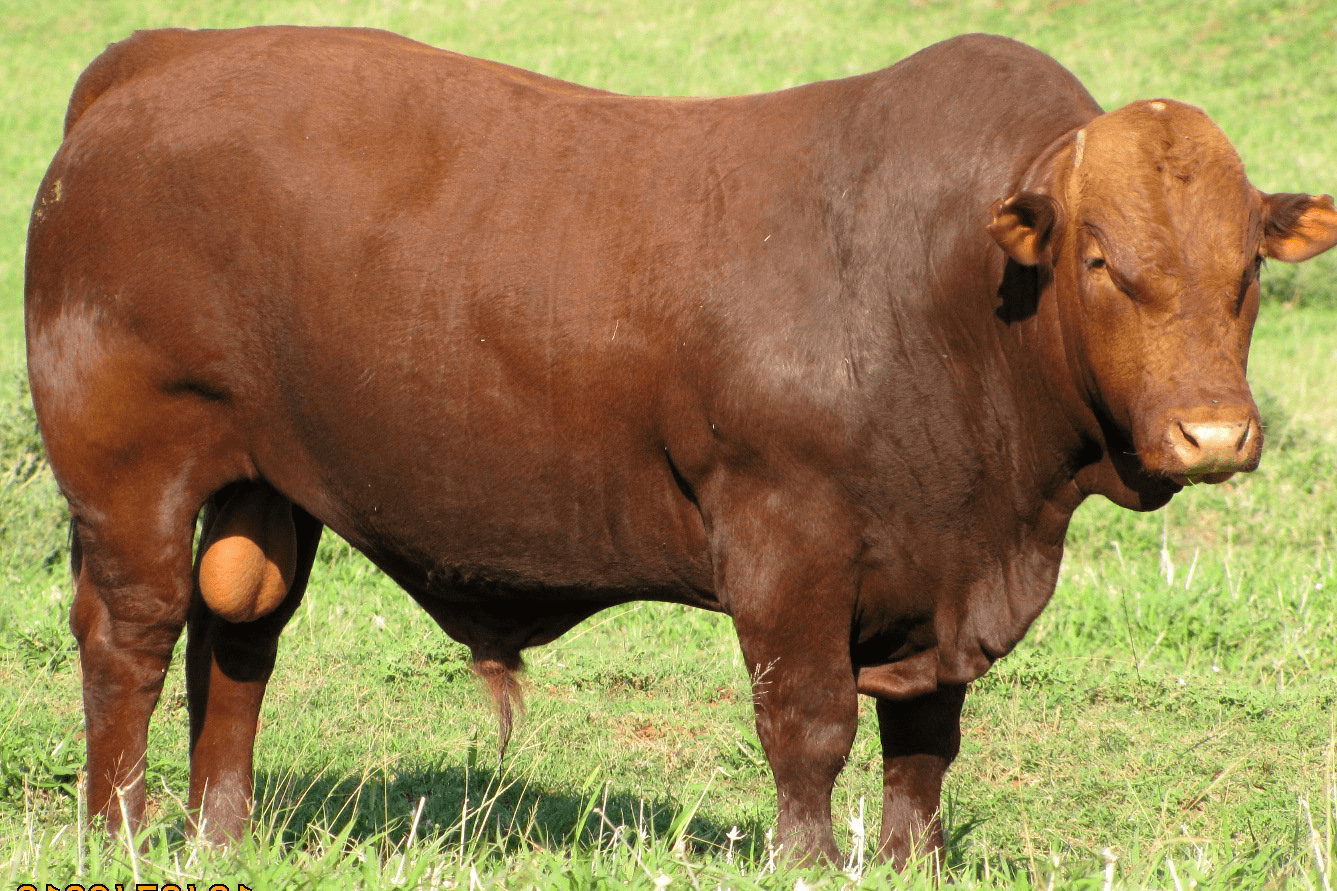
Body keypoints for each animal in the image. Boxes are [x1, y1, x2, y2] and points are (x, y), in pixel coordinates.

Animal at [24, 26, 1337, 866]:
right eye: (1102, 258)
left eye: (1245, 265)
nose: (1211, 433)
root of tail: (153, 62)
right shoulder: (784, 541)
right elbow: (807, 725)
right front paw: (804, 859)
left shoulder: (943, 573)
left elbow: (924, 745)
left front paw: (910, 860)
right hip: (131, 470)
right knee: (132, 635)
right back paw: (119, 831)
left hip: (264, 482)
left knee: (237, 632)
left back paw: (219, 834)